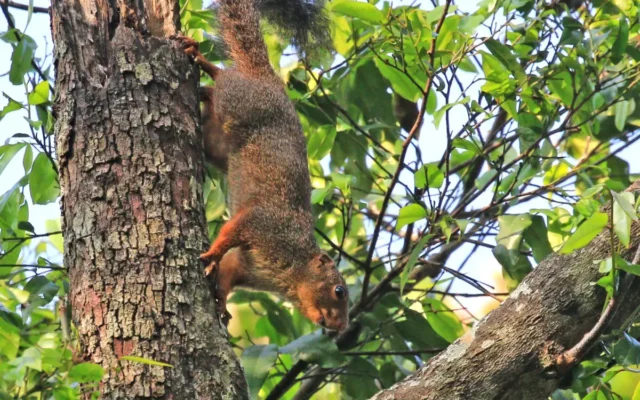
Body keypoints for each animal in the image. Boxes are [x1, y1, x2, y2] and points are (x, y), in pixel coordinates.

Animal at [174, 0, 349, 331]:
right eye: (339, 291)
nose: (340, 327)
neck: (291, 272)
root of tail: (266, 74)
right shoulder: (264, 224)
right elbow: (232, 230)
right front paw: (212, 255)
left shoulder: (247, 268)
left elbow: (228, 274)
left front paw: (221, 303)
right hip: (241, 100)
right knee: (223, 78)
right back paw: (200, 58)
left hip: (217, 142)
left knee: (210, 102)